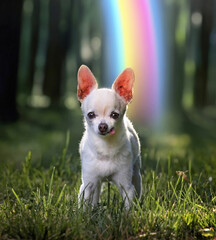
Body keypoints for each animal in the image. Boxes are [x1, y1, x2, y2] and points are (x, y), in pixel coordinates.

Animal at [77, 64, 142, 207]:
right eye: (91, 115)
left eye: (114, 115)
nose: (103, 126)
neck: (105, 147)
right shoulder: (87, 184)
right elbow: (83, 204)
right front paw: (82, 212)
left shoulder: (126, 186)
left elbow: (128, 205)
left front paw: (128, 213)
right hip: (95, 183)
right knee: (95, 194)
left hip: (136, 173)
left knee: (138, 186)